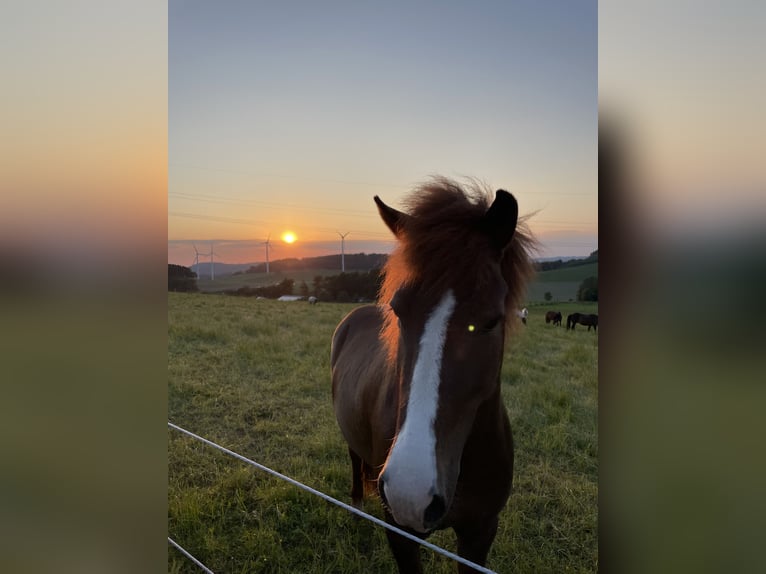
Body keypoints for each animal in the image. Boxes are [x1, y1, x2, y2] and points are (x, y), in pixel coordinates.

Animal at [332, 178, 536, 572]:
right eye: (398, 310)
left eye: (492, 320)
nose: (409, 491)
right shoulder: (401, 533)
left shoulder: (480, 533)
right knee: (353, 461)